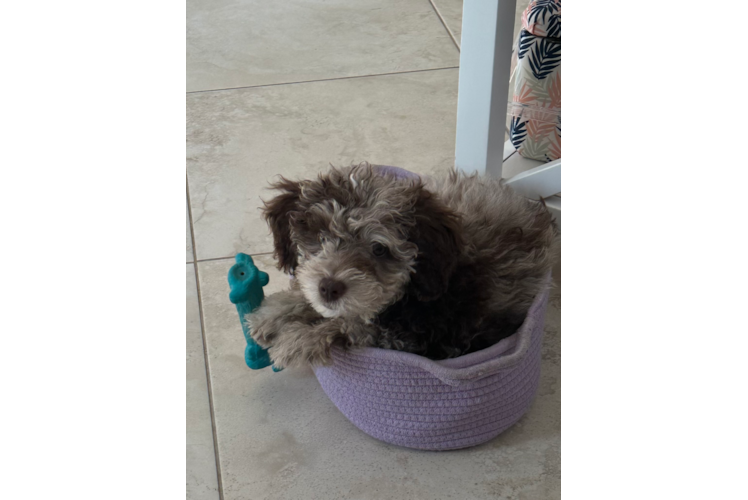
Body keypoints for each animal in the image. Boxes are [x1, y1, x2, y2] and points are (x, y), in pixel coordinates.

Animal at [248, 163, 560, 368]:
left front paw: (296, 339)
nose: (329, 287)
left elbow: (353, 325)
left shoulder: (423, 336)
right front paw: (271, 314)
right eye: (320, 237)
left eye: (379, 249)